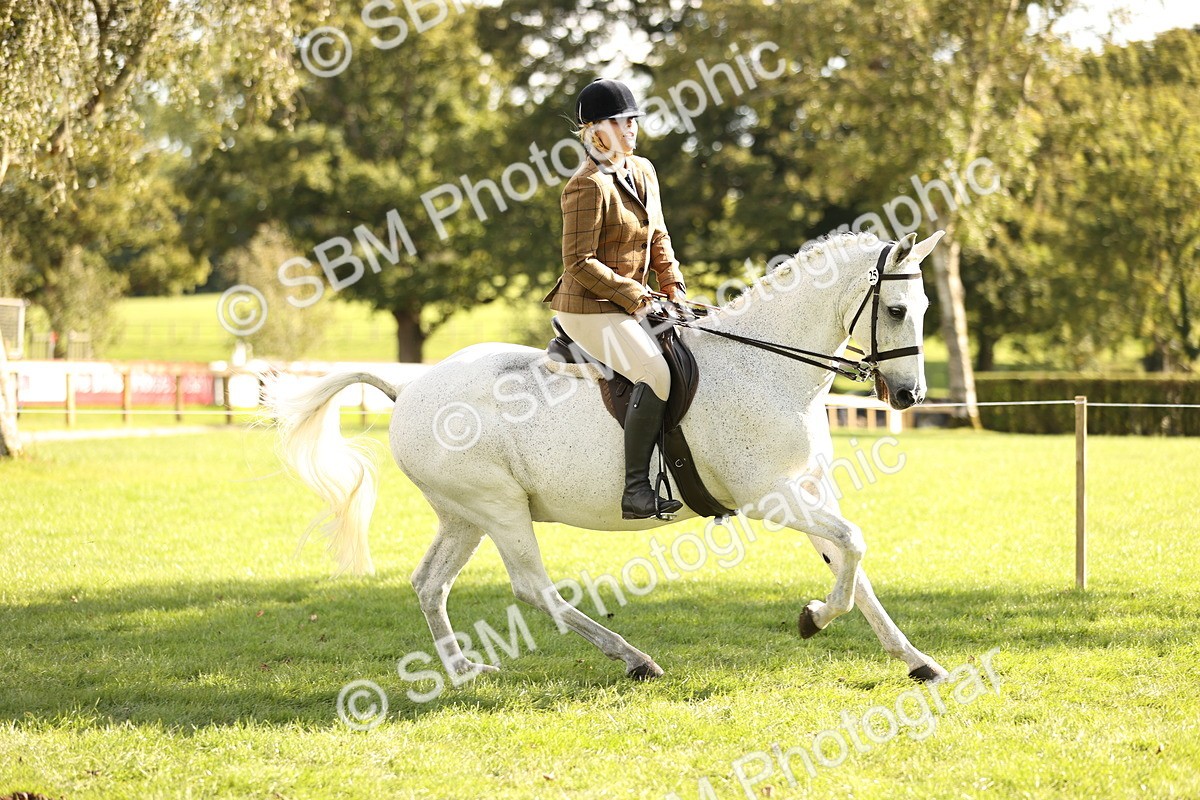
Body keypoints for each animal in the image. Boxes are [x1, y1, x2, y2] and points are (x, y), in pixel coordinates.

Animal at [270, 229, 949, 684]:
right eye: (895, 310)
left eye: (921, 311)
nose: (910, 397)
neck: (767, 366)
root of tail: (407, 390)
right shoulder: (768, 497)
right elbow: (854, 545)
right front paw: (813, 618)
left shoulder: (806, 491)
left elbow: (852, 563)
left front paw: (916, 661)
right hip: (499, 508)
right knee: (533, 588)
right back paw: (634, 659)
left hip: (463, 515)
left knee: (430, 583)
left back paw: (462, 669)